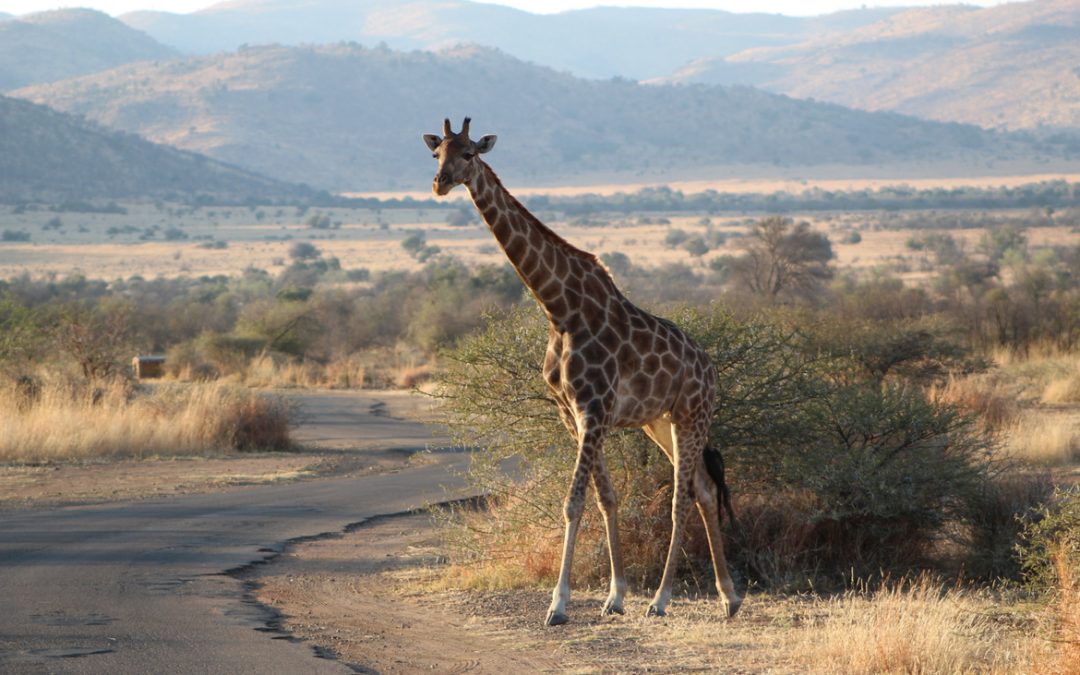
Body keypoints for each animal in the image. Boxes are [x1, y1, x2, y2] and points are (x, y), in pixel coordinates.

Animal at [423, 117, 742, 625]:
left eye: (469, 153)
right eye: (437, 155)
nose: (440, 183)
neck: (559, 310)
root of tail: (710, 369)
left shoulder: (594, 410)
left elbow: (573, 503)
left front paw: (558, 604)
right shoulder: (572, 414)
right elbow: (605, 497)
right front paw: (614, 596)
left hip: (692, 415)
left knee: (681, 500)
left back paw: (662, 599)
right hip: (659, 421)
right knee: (706, 490)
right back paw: (729, 597)